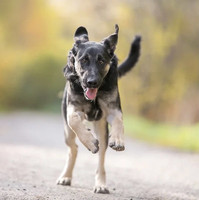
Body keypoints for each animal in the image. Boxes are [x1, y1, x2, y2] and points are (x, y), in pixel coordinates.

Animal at [56, 24, 141, 193]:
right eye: (84, 60)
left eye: (101, 61)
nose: (92, 82)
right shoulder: (73, 110)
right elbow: (74, 120)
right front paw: (89, 141)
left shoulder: (113, 110)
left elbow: (119, 121)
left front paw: (118, 140)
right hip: (67, 133)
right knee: (73, 148)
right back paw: (66, 176)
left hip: (101, 130)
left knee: (101, 158)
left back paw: (100, 184)